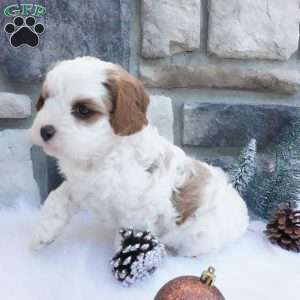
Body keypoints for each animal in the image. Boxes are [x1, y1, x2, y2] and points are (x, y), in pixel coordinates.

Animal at [31, 56, 248, 255]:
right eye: (45, 100)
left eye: (82, 110)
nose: (44, 131)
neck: (100, 155)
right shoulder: (80, 186)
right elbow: (58, 195)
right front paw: (44, 230)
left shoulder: (137, 212)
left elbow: (130, 235)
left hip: (201, 238)